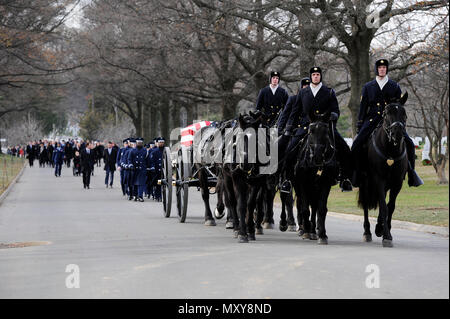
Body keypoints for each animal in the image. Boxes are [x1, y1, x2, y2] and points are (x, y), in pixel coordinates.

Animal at [294, 111, 340, 244]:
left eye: (326, 132)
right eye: (311, 131)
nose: (317, 156)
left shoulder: (326, 183)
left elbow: (321, 208)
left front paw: (322, 234)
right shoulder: (303, 183)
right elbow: (305, 208)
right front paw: (306, 231)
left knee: (314, 207)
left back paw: (314, 230)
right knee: (302, 205)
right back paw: (305, 229)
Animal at [356, 92, 410, 248]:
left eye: (404, 114)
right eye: (386, 114)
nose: (397, 133)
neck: (391, 151)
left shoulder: (397, 182)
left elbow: (389, 206)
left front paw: (384, 230)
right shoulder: (378, 179)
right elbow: (383, 206)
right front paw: (385, 235)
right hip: (365, 183)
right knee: (366, 204)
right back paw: (367, 232)